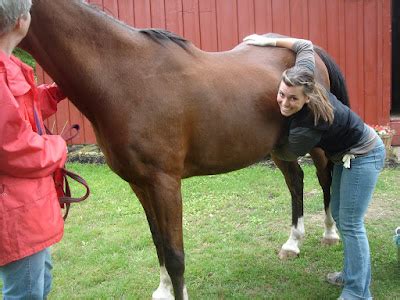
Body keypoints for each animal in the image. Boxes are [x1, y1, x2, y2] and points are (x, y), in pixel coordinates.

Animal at [20, 1, 344, 298]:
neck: (126, 78)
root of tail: (311, 52)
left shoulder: (165, 183)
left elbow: (175, 255)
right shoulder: (139, 183)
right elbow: (158, 242)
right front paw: (163, 290)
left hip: (317, 145)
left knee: (325, 178)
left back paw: (330, 233)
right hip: (278, 148)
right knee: (295, 181)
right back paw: (293, 243)